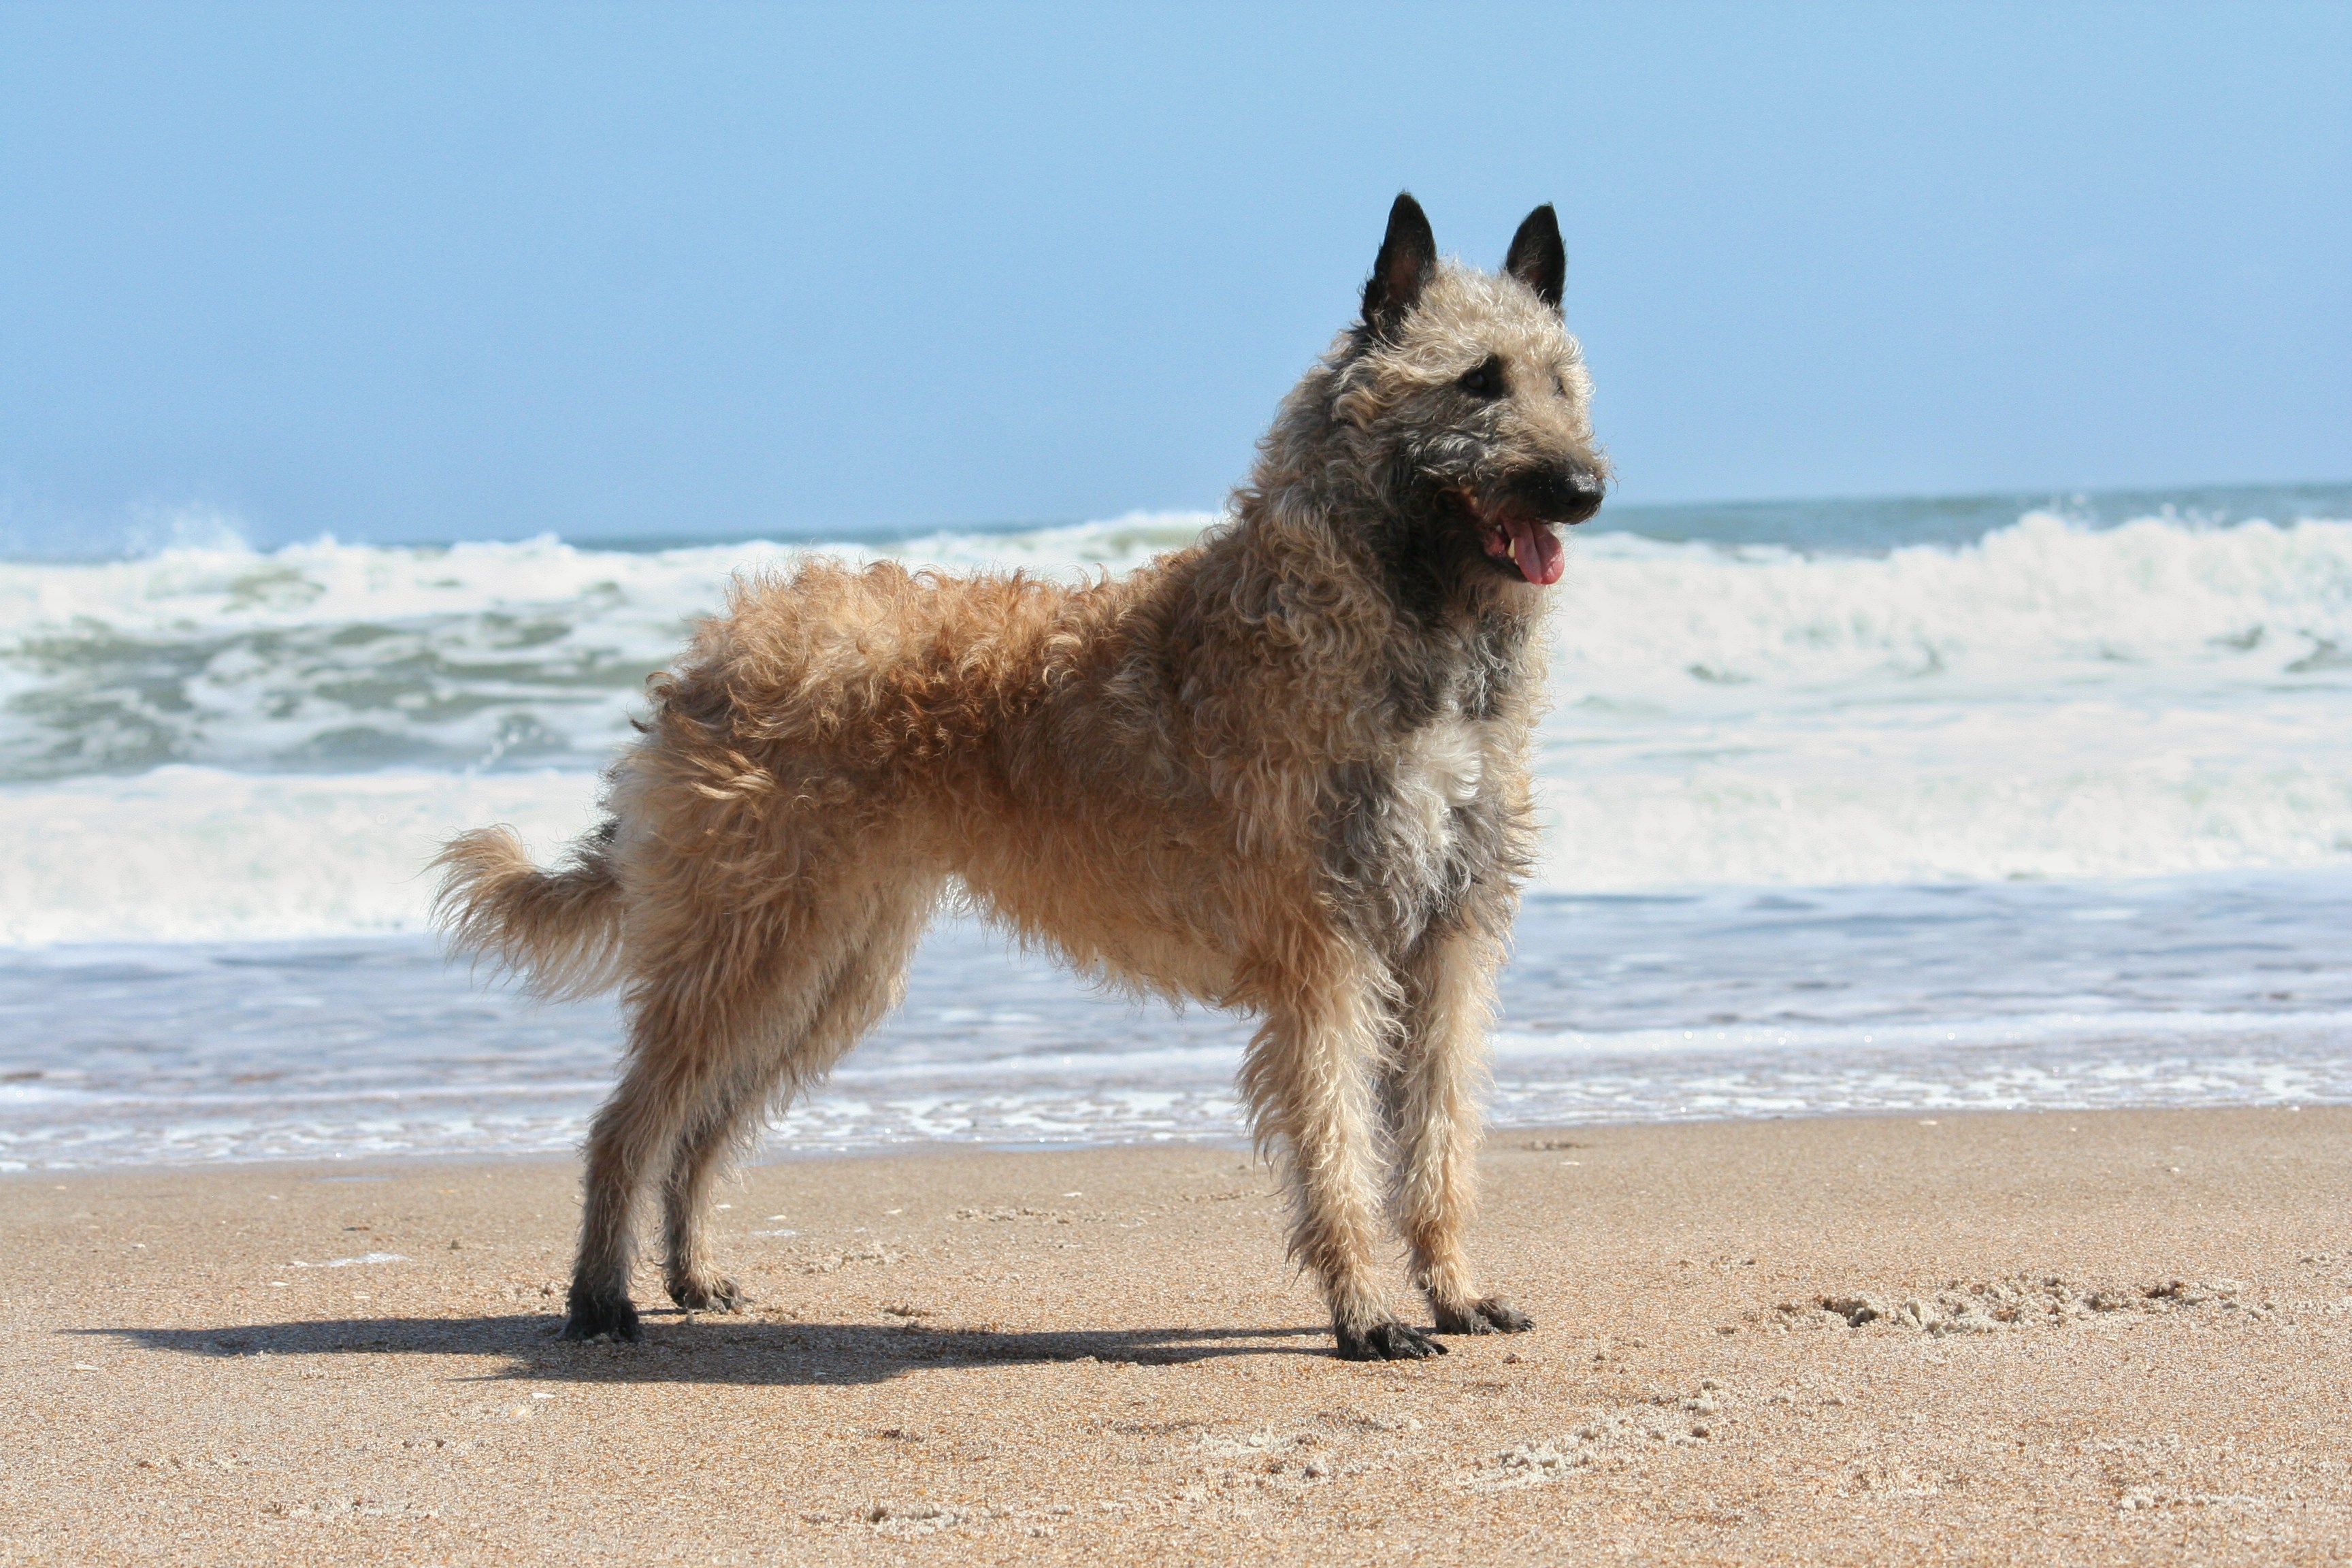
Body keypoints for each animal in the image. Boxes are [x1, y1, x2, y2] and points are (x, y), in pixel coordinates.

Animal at [432, 190, 1608, 1354]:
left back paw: (691, 1273)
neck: (1398, 611)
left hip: (828, 962)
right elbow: (1338, 1144)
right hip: (753, 938)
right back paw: (601, 1299)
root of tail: (708, 656)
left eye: (1560, 378)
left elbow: (1441, 1139)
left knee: (700, 1126)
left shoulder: (1449, 941)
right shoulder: (1325, 953)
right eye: (1477, 379)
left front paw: (1456, 1291)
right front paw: (1365, 1312)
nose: (1586, 489)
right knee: (629, 1121)